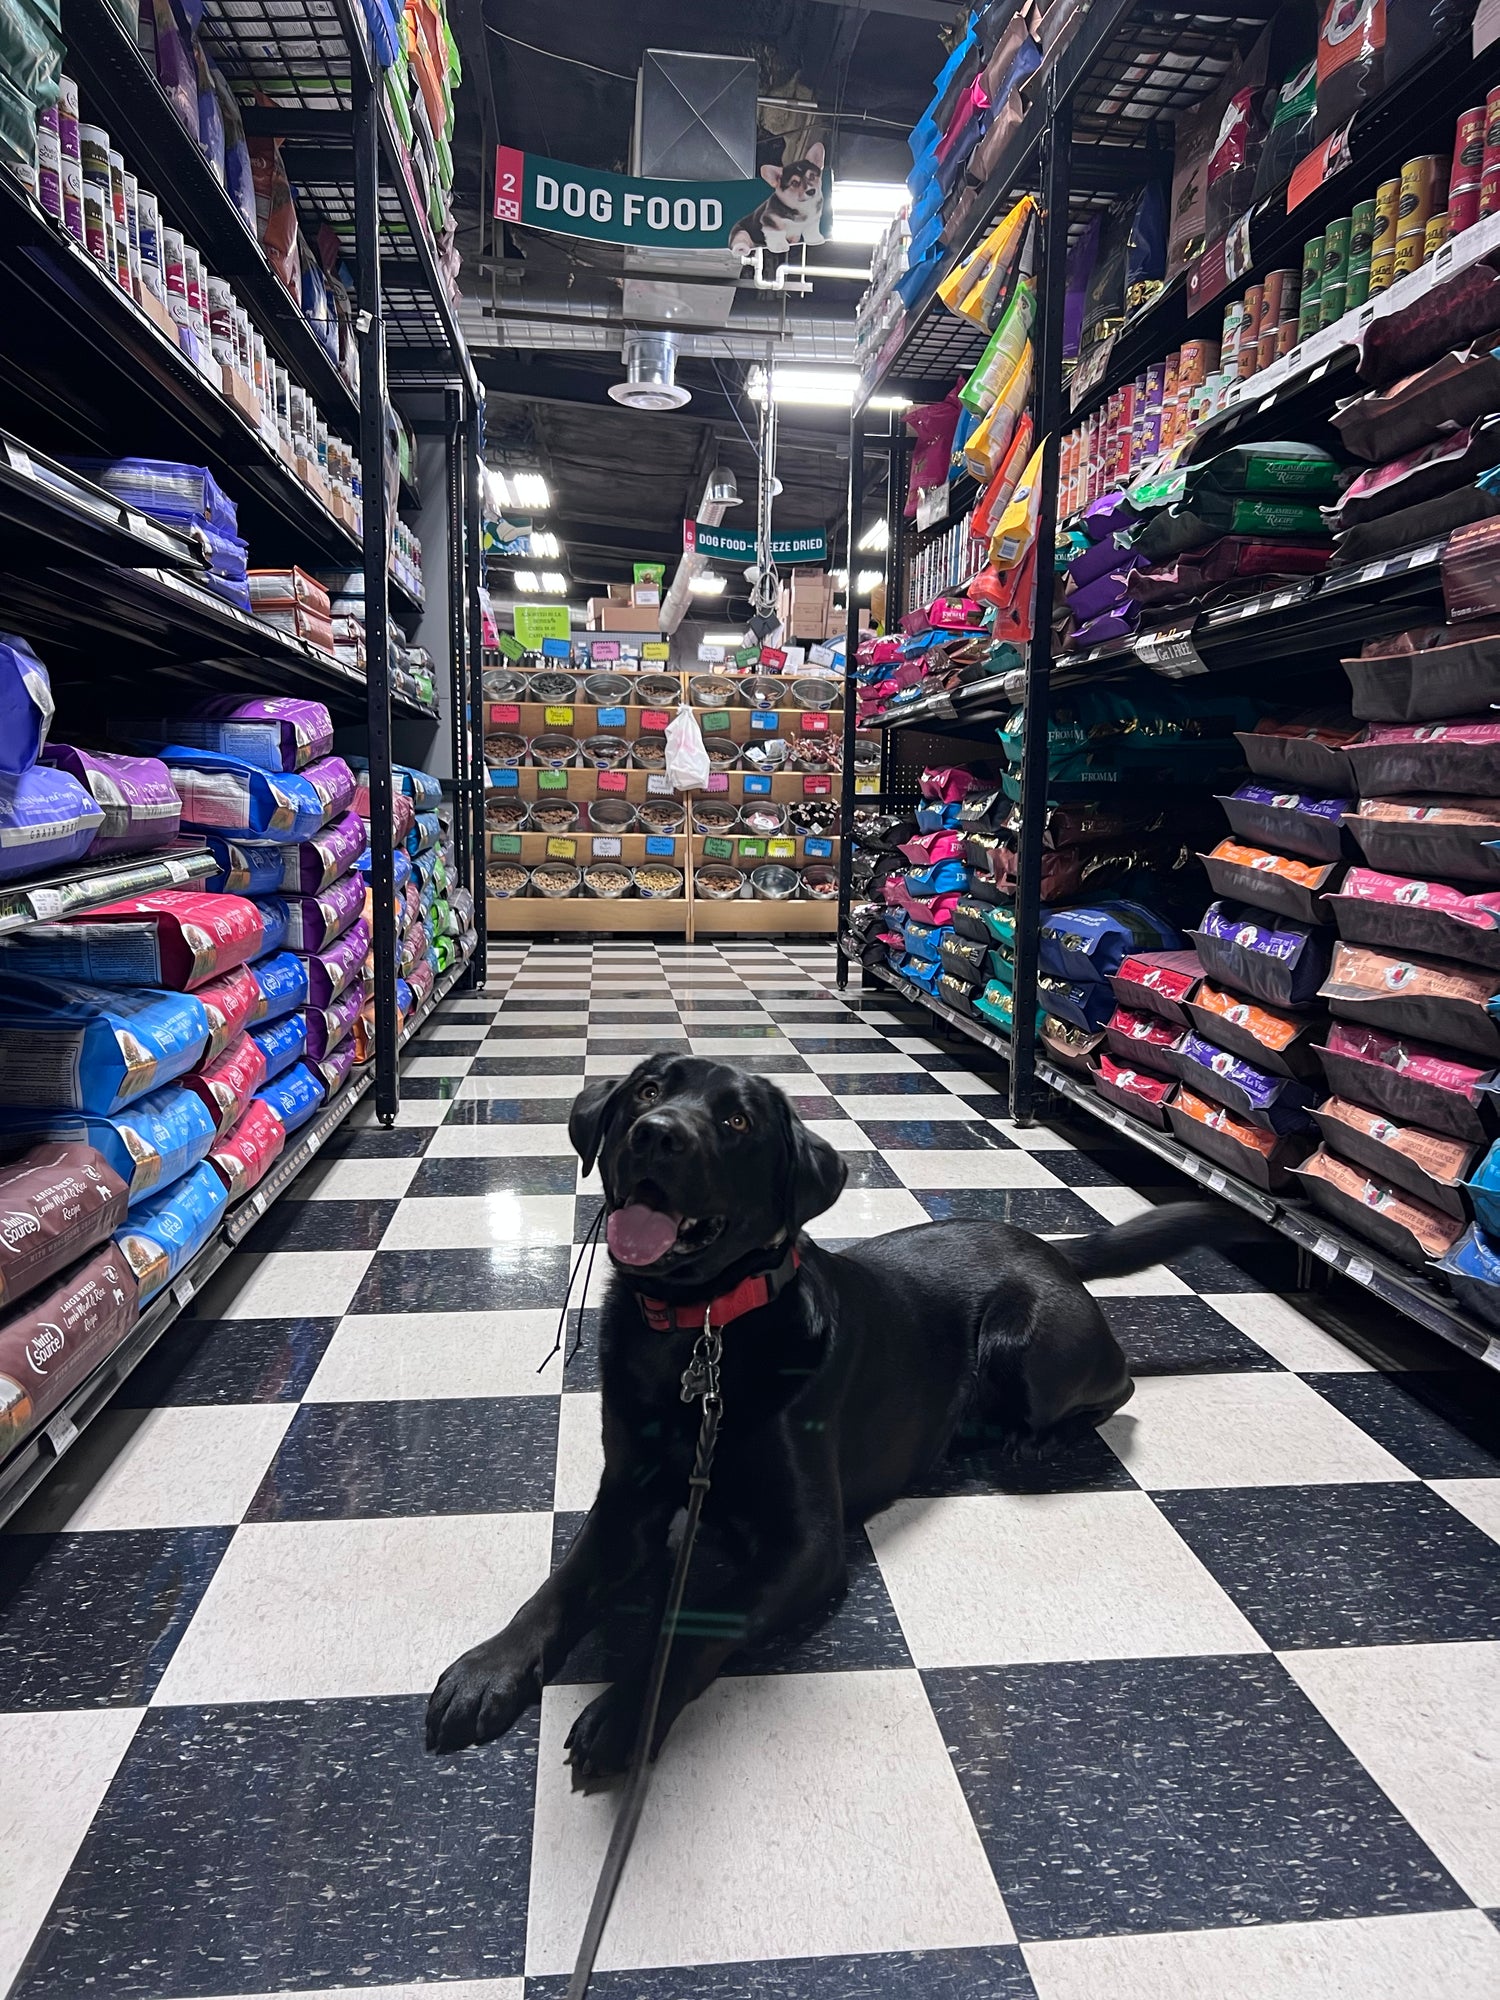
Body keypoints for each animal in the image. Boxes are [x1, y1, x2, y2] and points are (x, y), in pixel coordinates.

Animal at [426, 1054, 1235, 1782]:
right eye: (648, 1092)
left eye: (737, 1122)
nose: (655, 1135)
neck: (700, 1329)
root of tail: (1044, 1245)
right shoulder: (628, 1498)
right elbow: (562, 1585)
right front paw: (489, 1669)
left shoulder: (806, 1548)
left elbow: (693, 1621)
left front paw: (627, 1713)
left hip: (1031, 1346)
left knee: (1119, 1386)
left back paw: (1038, 1439)